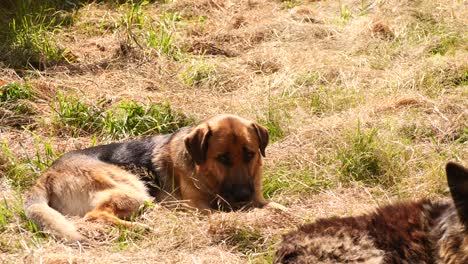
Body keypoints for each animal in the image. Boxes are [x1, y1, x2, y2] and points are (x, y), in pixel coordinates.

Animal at [24, 114, 282, 241]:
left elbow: (277, 207)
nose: (243, 195)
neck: (207, 176)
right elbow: (226, 213)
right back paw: (139, 228)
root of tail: (47, 174)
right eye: (223, 158)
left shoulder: (257, 198)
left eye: (250, 154)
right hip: (134, 189)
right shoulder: (198, 207)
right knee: (96, 215)